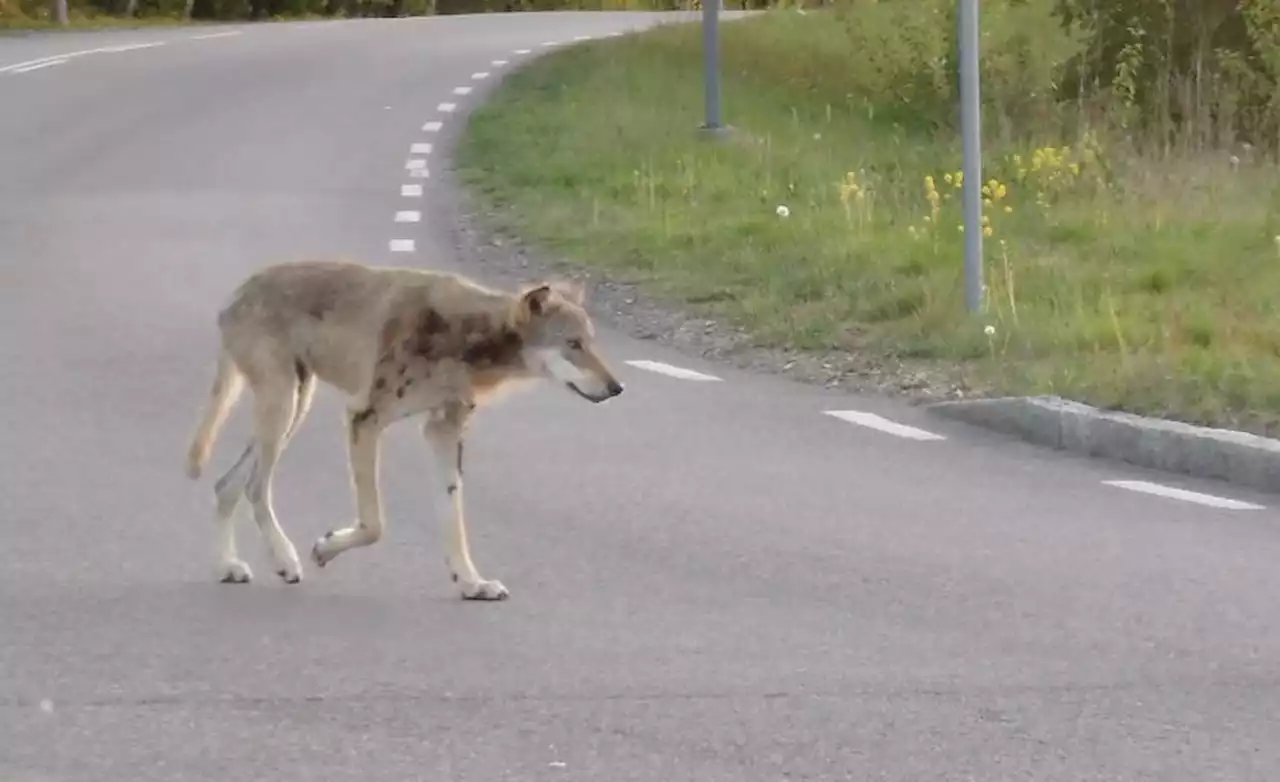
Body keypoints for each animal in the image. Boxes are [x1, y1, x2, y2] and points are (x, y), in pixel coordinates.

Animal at [184, 259, 624, 601]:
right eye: (573, 344)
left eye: (591, 342)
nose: (617, 388)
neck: (469, 335)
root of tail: (237, 293)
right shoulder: (364, 418)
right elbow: (375, 524)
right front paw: (324, 549)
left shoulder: (444, 430)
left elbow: (453, 520)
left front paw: (471, 583)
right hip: (283, 408)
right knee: (254, 487)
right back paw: (284, 559)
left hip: (292, 409)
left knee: (226, 484)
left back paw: (228, 565)